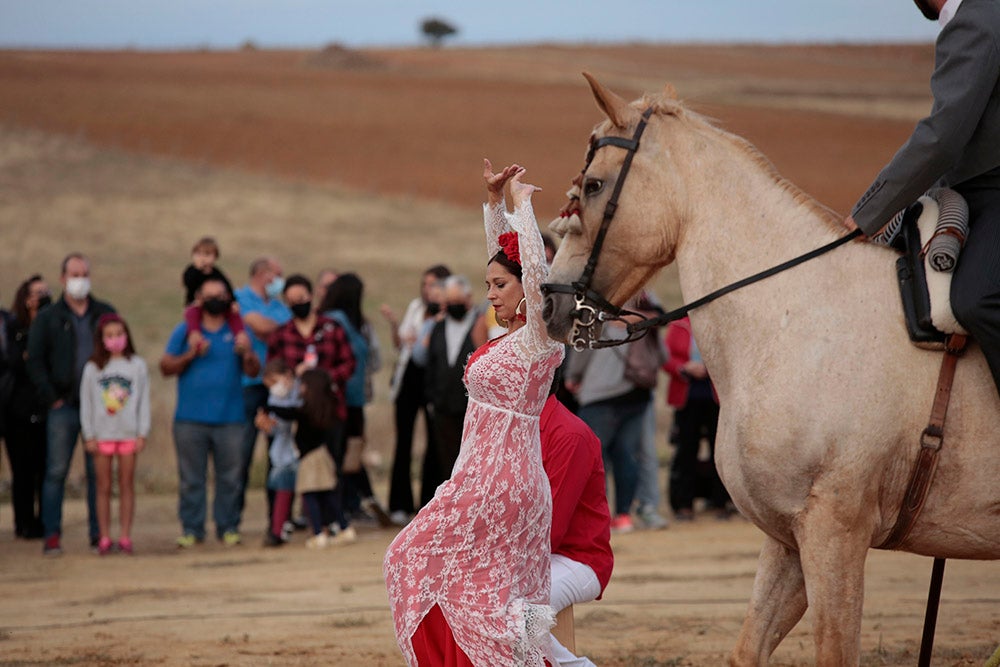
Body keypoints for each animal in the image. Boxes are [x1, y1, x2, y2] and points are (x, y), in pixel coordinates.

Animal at [548, 75, 1000, 664]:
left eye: (595, 185)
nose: (549, 302)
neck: (798, 317)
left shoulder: (836, 535)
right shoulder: (788, 539)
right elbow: (749, 647)